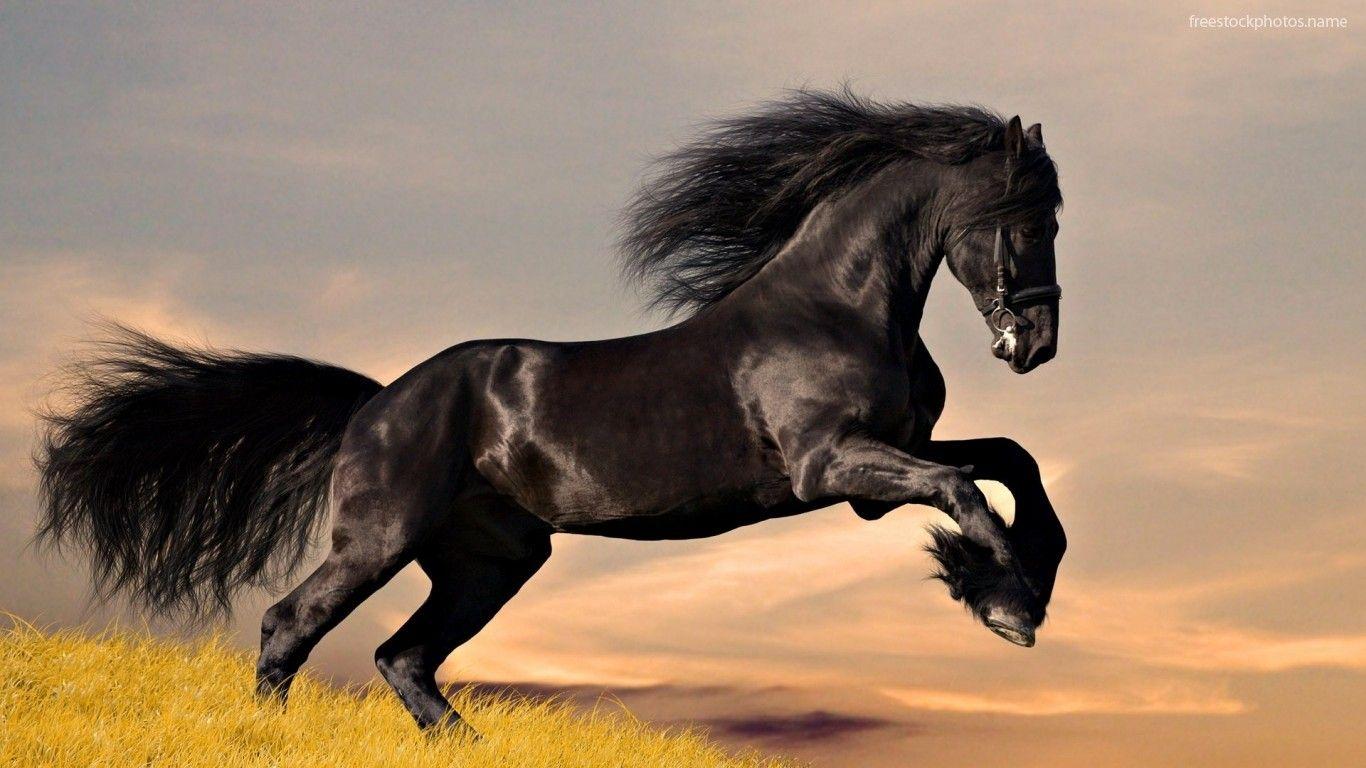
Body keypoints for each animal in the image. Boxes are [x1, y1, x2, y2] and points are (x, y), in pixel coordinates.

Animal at [35, 89, 1067, 734]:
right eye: (1025, 219)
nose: (1037, 344)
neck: (836, 306)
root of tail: (376, 404)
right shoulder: (833, 468)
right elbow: (964, 490)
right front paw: (1005, 603)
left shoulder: (884, 462)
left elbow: (1011, 461)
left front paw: (1016, 582)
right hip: (380, 538)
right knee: (292, 625)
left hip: (490, 561)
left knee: (404, 658)